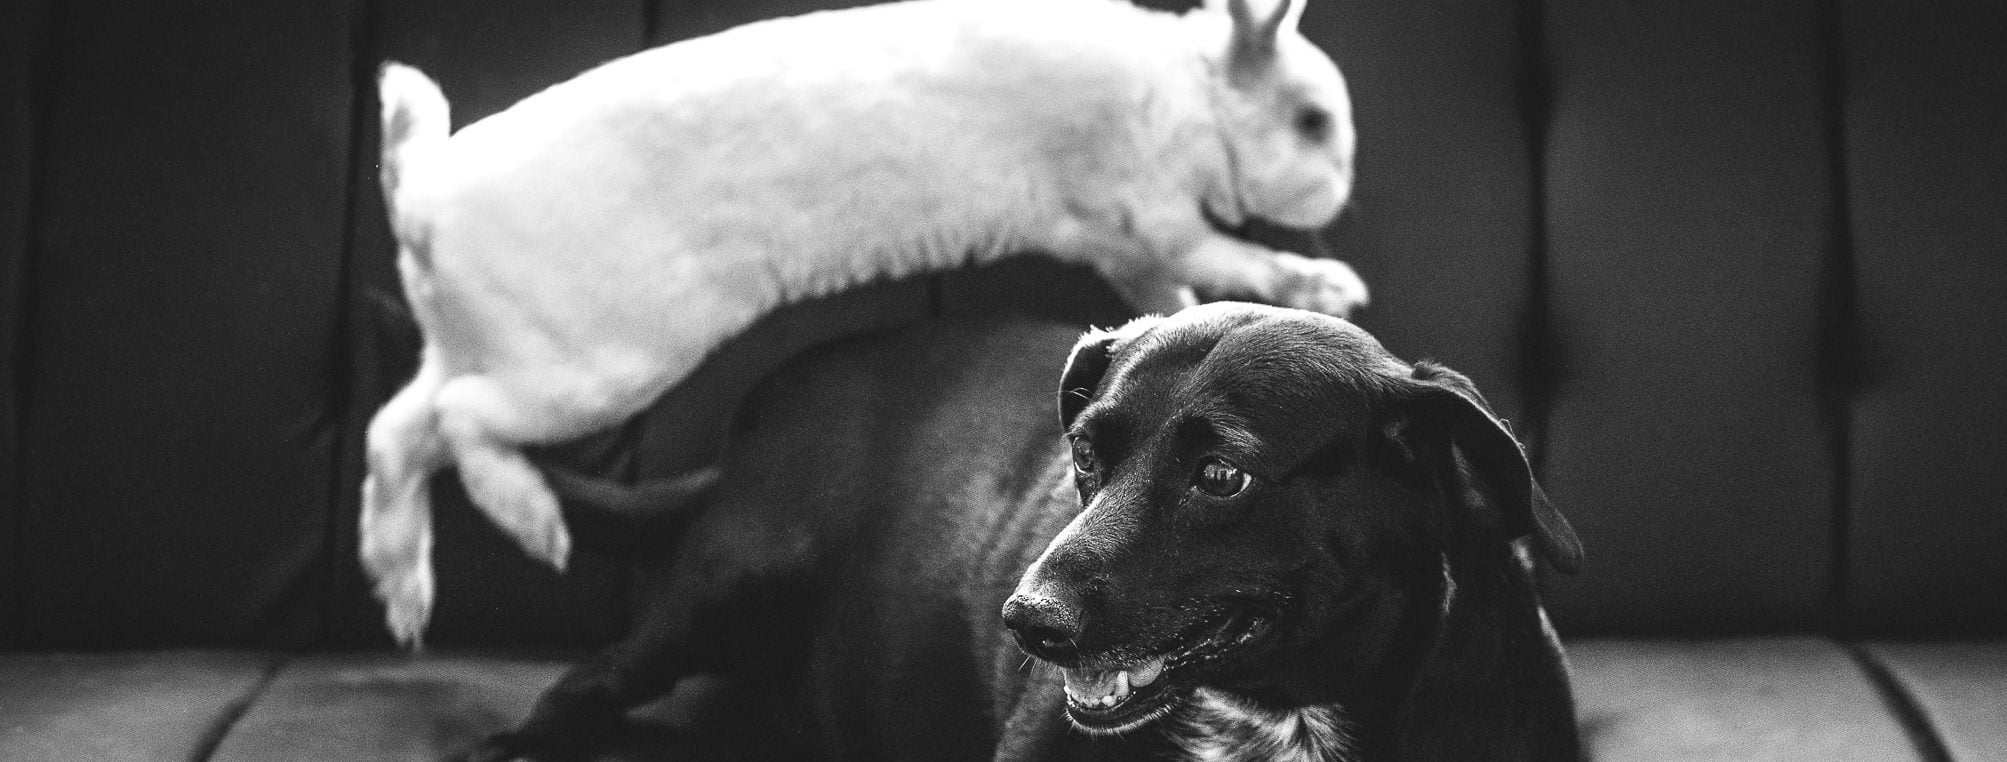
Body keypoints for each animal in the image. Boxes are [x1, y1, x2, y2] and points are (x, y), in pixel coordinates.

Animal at [363, 0, 1366, 645]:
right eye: (1311, 122)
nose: (1338, 195)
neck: (1188, 89)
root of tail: (423, 201)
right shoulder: (1145, 218)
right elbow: (1225, 260)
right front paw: (1325, 284)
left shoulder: (1129, 244)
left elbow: (1180, 282)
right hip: (597, 367)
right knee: (456, 422)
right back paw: (528, 524)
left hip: (486, 349)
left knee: (399, 427)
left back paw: (403, 587)